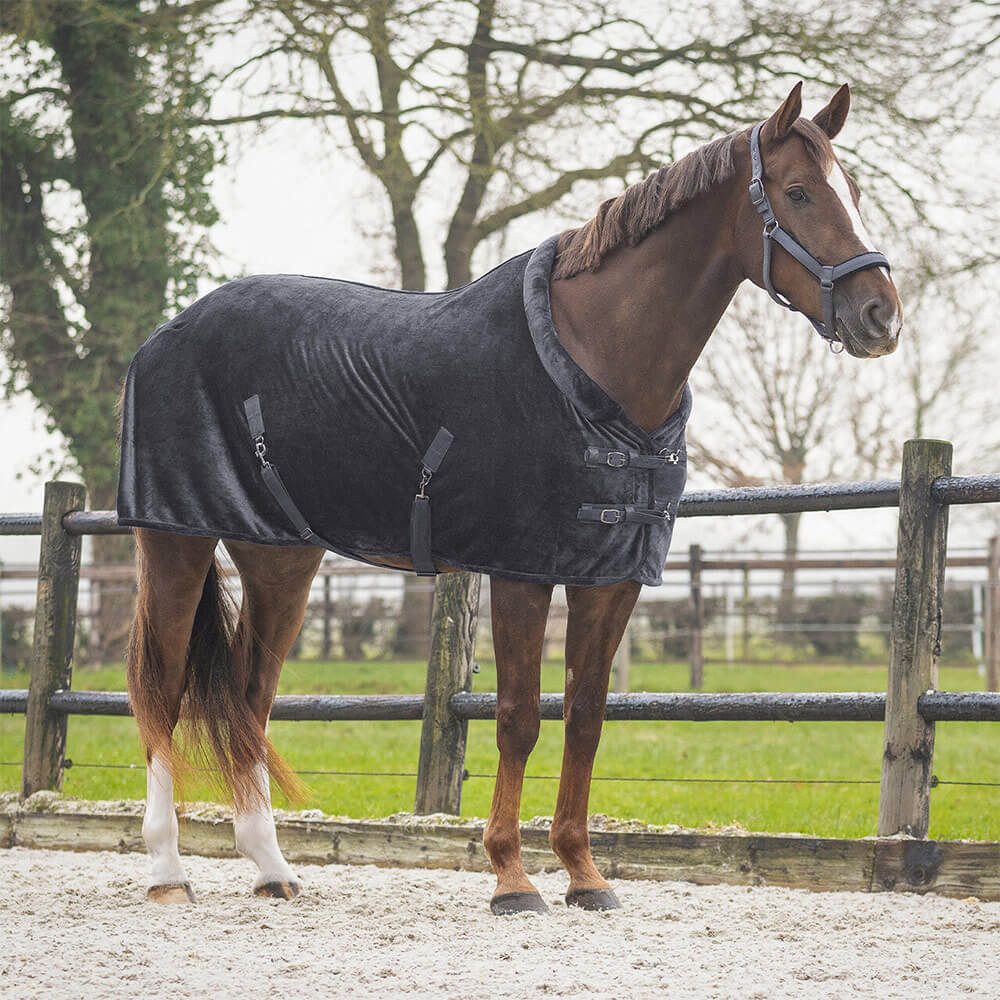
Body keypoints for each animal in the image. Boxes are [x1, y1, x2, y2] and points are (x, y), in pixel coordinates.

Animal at [122, 82, 901, 912]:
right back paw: (168, 872)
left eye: (853, 192)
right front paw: (510, 876)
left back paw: (271, 868)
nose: (881, 314)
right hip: (176, 542)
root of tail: (165, 335)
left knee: (248, 697)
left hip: (280, 559)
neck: (597, 358)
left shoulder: (612, 576)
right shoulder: (521, 571)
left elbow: (585, 718)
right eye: (798, 191)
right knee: (161, 694)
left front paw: (585, 874)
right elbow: (519, 719)